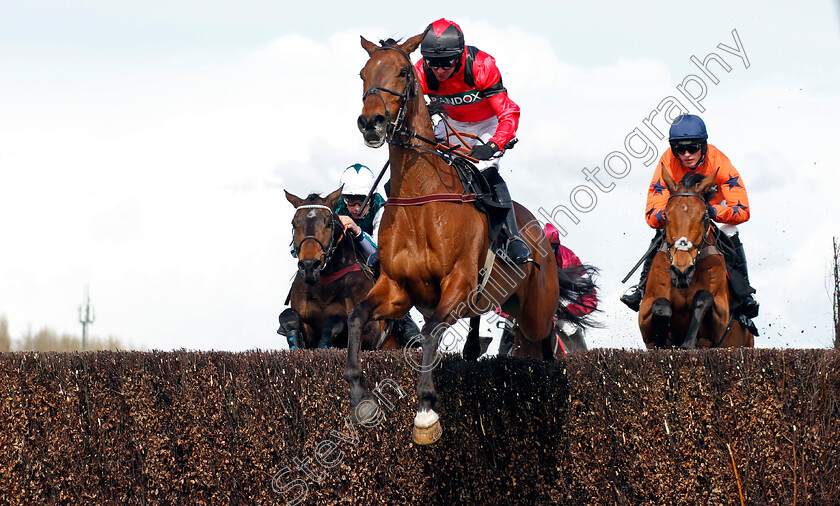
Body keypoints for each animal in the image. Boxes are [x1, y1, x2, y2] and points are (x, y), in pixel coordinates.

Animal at [280, 188, 402, 350]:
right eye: (294, 223)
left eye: (328, 223)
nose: (309, 266)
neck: (326, 285)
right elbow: (288, 316)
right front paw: (296, 344)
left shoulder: (370, 331)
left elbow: (336, 321)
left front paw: (324, 344)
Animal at [344, 34, 560, 442]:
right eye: (362, 73)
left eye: (402, 71)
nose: (371, 123)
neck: (420, 197)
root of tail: (540, 232)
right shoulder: (396, 288)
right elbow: (357, 315)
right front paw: (361, 400)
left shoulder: (458, 283)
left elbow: (430, 332)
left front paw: (426, 412)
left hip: (536, 310)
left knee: (547, 338)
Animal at [644, 168, 756, 350]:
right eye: (666, 216)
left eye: (703, 216)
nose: (682, 271)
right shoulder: (645, 314)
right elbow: (661, 306)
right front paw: (663, 342)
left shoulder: (721, 319)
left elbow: (704, 297)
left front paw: (688, 343)